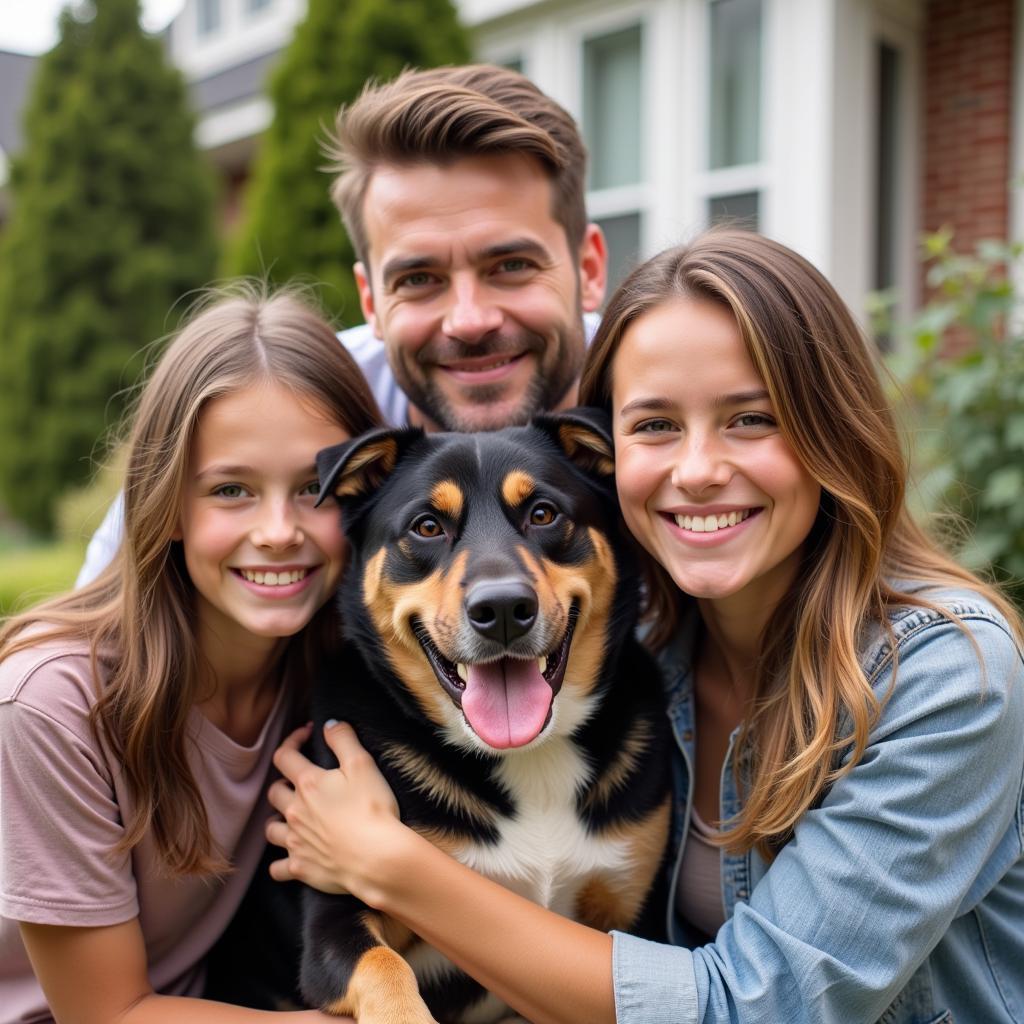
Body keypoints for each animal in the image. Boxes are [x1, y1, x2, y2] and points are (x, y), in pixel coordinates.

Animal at [303, 407, 671, 1024]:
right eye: (428, 526)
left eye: (543, 514)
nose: (501, 609)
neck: (531, 756)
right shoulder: (332, 908)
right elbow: (382, 963)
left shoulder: (632, 911)